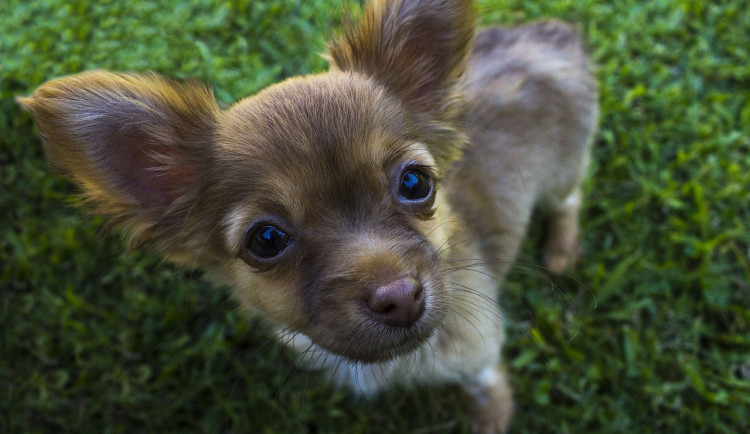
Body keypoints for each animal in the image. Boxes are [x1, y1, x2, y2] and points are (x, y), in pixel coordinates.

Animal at [17, 0, 600, 430]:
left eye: (416, 183)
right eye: (267, 240)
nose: (399, 297)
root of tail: (554, 33)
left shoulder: (479, 348)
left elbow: (485, 385)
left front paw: (492, 416)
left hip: (562, 170)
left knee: (570, 199)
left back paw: (561, 248)